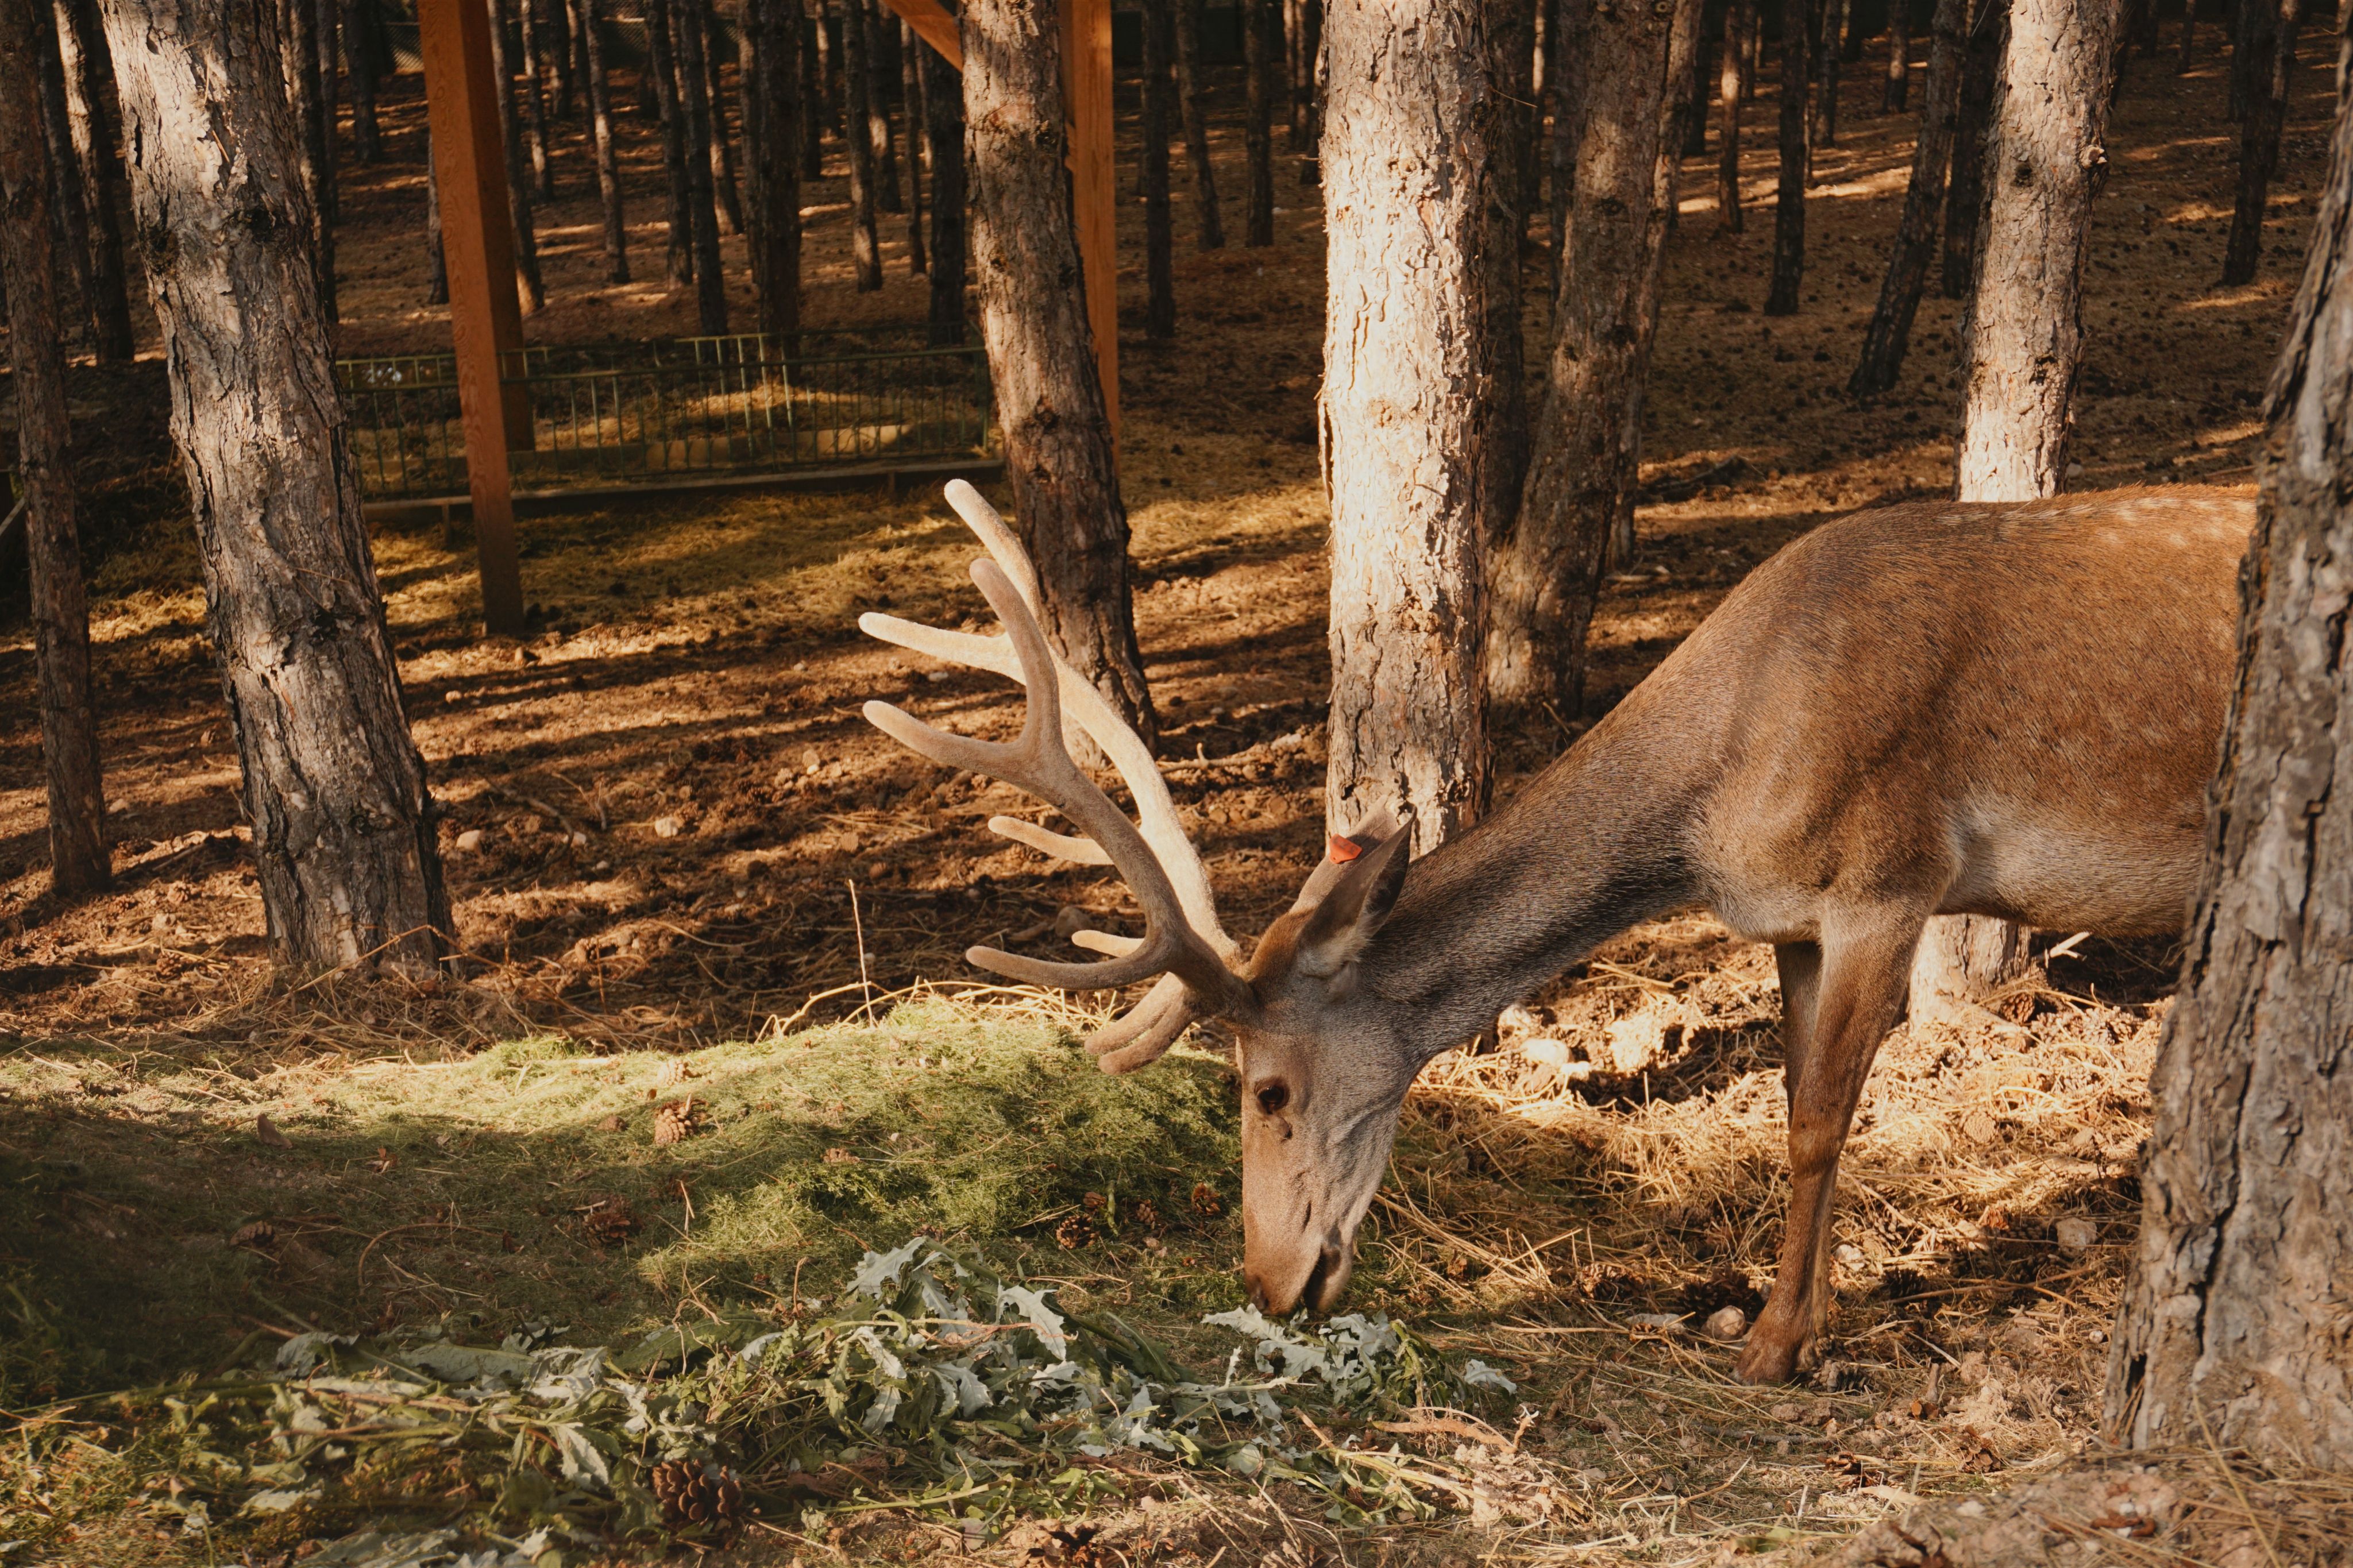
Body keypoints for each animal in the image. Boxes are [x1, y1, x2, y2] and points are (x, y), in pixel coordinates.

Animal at [859, 479, 2251, 1384]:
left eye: (1265, 1091)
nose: (1266, 1281)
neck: (1713, 810)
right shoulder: (1795, 920)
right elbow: (1796, 1098)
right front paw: (1788, 1318)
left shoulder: (1886, 877)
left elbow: (1816, 1121)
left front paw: (1772, 1348)